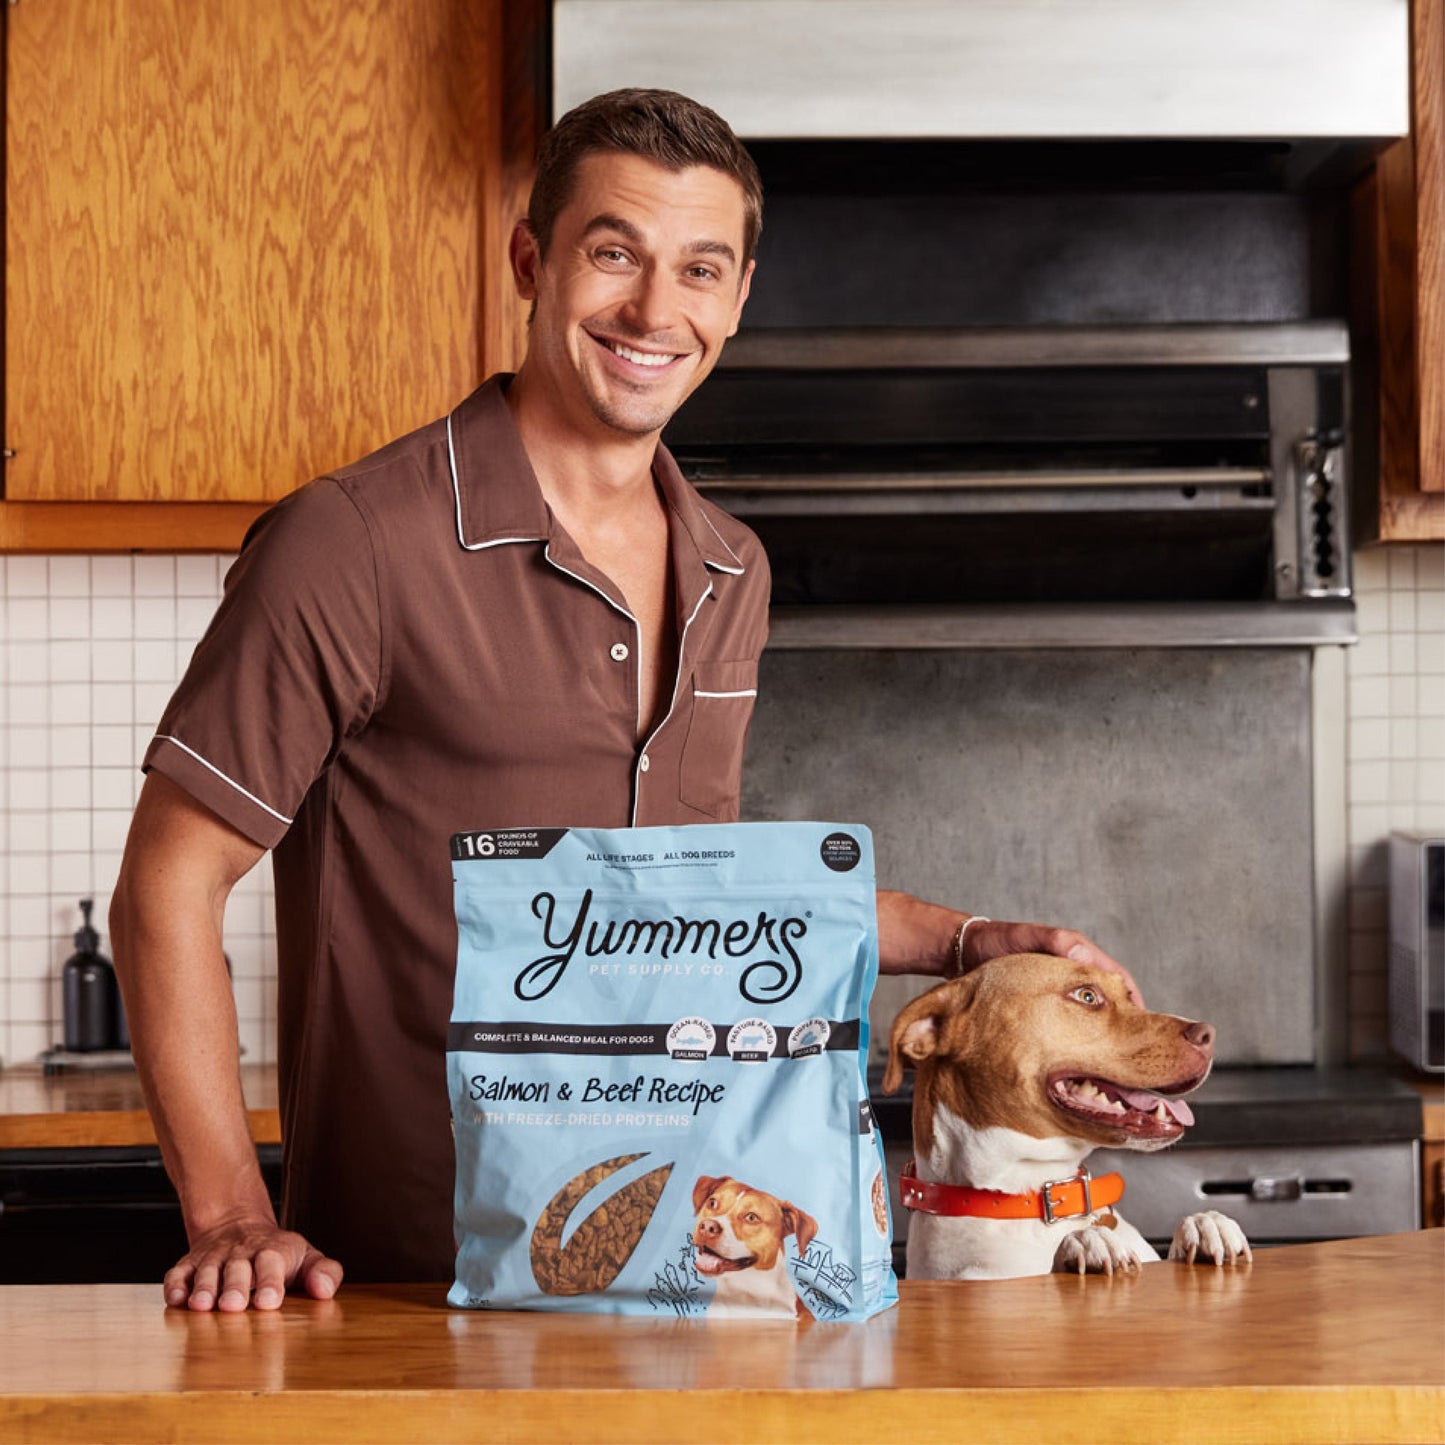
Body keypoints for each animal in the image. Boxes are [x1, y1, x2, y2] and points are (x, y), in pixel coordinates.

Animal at [878, 953, 1254, 1283]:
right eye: (1087, 996)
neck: (1038, 1195)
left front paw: (1204, 1226)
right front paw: (1086, 1244)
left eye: (1128, 995)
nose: (1208, 1034)